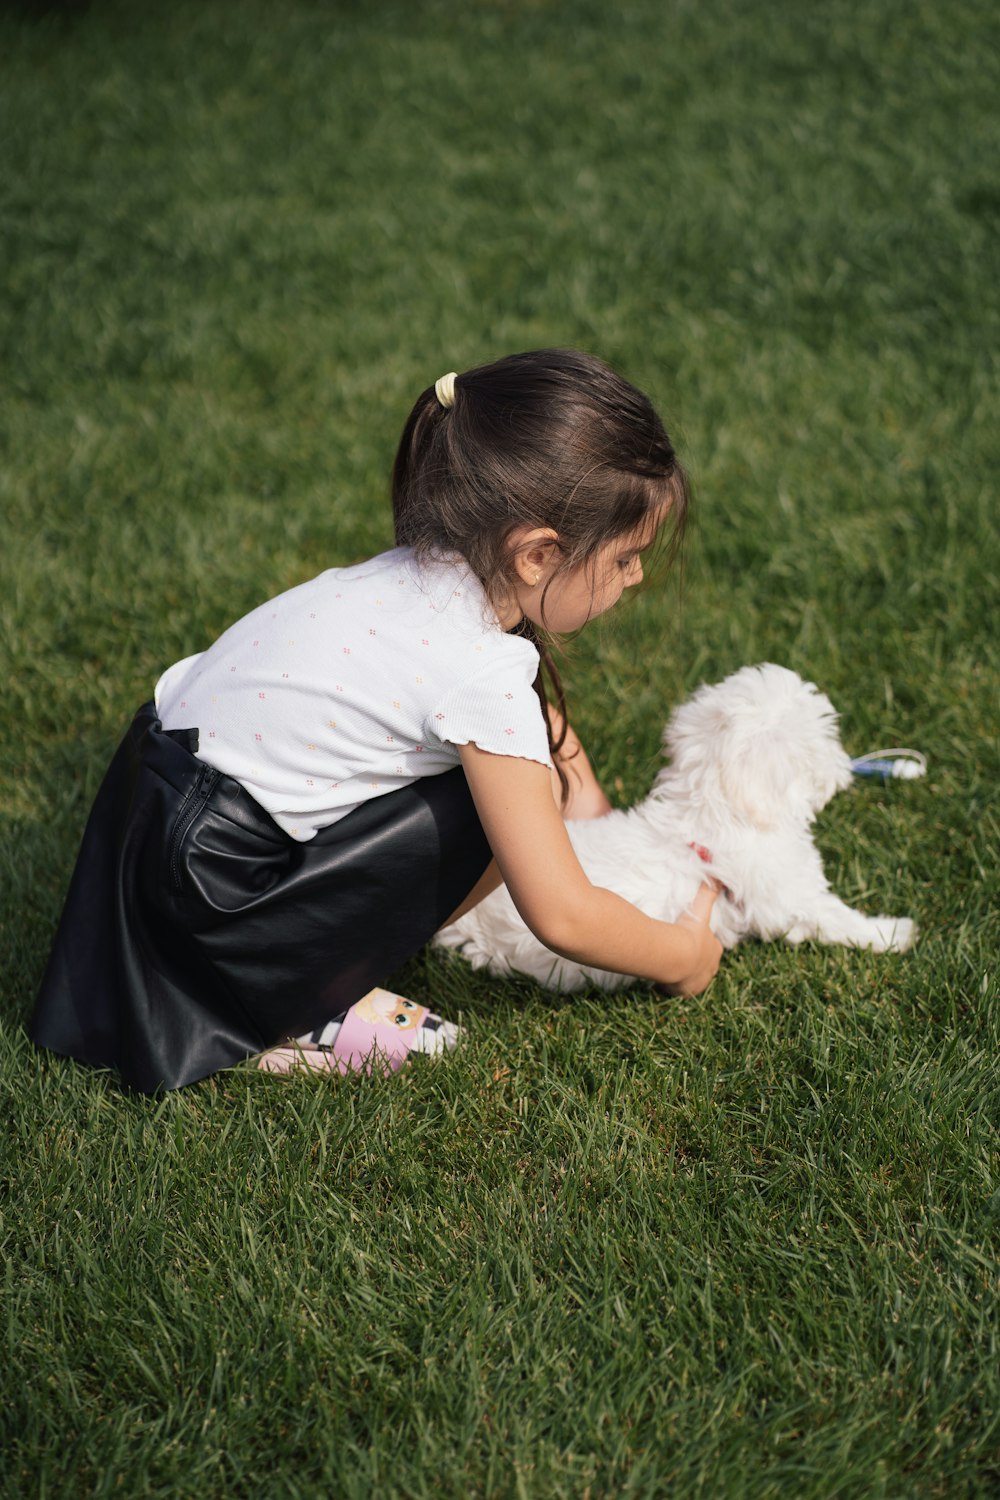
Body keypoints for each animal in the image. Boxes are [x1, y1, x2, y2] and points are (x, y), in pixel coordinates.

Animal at [434, 663, 917, 990]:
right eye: (824, 740)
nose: (845, 768)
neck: (711, 811)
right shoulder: (788, 897)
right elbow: (838, 919)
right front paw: (893, 933)